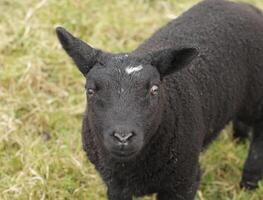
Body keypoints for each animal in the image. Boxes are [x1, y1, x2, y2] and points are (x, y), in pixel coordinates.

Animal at [55, 0, 263, 199]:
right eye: (90, 90)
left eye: (154, 89)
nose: (123, 137)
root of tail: (243, 6)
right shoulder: (115, 186)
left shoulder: (184, 182)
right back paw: (239, 142)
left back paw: (248, 186)